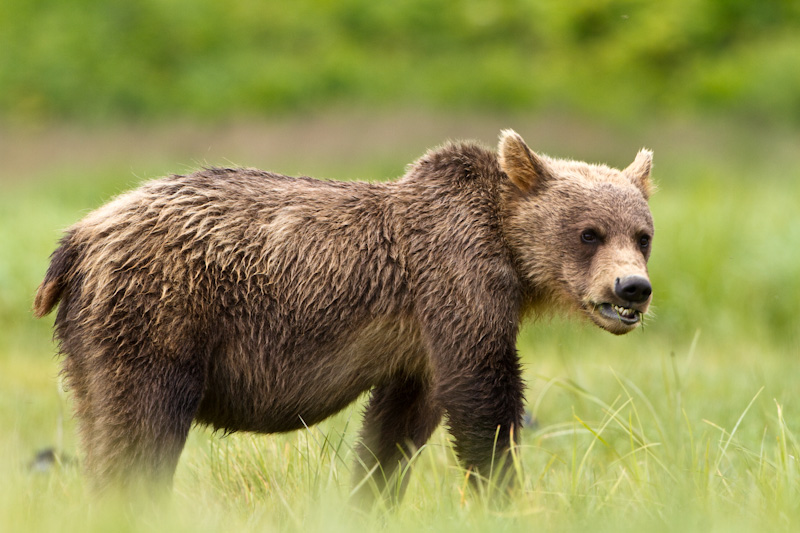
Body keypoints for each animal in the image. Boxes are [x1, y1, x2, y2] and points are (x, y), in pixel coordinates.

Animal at [34, 129, 652, 498]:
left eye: (642, 235)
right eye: (589, 233)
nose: (633, 287)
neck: (508, 252)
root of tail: (81, 234)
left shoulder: (415, 341)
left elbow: (396, 425)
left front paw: (370, 493)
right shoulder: (455, 279)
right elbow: (483, 395)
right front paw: (502, 491)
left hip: (88, 338)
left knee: (100, 422)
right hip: (159, 311)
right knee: (141, 426)